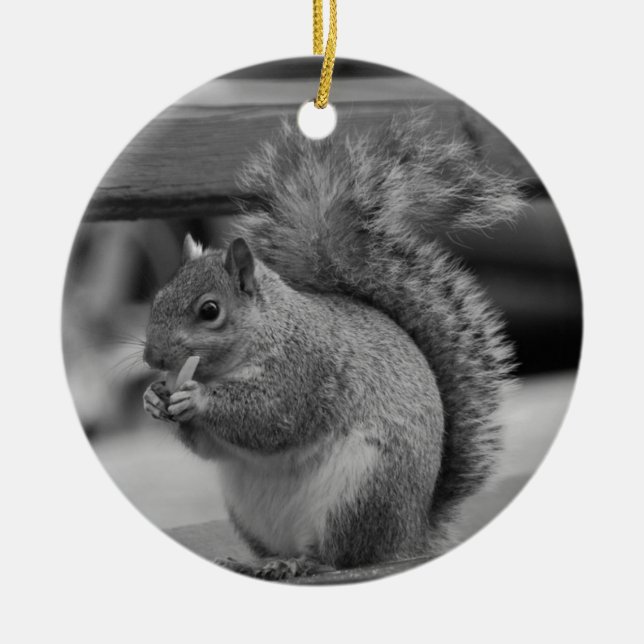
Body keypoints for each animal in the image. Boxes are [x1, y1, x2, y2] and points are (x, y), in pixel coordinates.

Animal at [142, 114, 522, 580]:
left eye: (209, 310)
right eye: (157, 298)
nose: (152, 358)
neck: (269, 330)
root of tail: (410, 535)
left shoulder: (305, 369)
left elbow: (271, 418)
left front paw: (195, 397)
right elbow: (211, 447)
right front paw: (154, 397)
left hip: (361, 492)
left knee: (340, 557)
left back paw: (300, 563)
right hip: (250, 509)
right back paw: (255, 562)